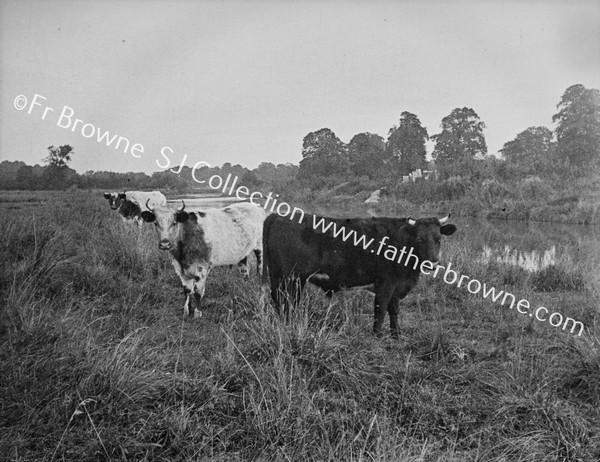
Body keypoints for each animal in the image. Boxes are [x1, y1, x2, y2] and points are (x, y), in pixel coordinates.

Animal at [260, 213, 458, 336]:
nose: (433, 262)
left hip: (279, 276)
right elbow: (380, 309)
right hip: (291, 277)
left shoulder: (396, 285)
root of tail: (278, 216)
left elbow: (394, 311)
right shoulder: (386, 284)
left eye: (438, 239)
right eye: (420, 239)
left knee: (278, 299)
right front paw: (377, 335)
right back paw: (289, 324)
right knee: (288, 301)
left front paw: (396, 335)